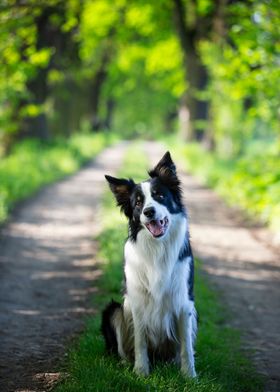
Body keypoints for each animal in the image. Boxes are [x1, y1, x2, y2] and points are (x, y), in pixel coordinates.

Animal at [101, 152, 197, 378]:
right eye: (138, 203)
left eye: (160, 195)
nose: (149, 212)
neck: (157, 248)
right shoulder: (137, 301)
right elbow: (140, 340)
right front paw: (141, 371)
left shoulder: (183, 301)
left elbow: (186, 346)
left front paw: (189, 376)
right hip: (113, 310)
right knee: (122, 349)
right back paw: (126, 364)